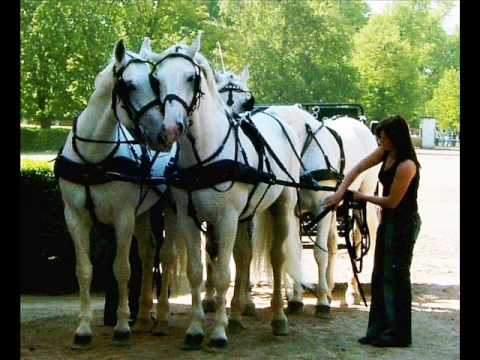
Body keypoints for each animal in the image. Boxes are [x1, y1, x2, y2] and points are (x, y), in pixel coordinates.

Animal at [54, 40, 178, 348]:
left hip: (168, 209)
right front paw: (83, 328)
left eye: (155, 83)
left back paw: (162, 316)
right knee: (147, 253)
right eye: (129, 85)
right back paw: (144, 315)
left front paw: (121, 326)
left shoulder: (123, 218)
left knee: (166, 256)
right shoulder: (75, 218)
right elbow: (84, 270)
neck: (92, 156)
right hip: (143, 213)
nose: (162, 135)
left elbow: (122, 268)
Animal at [142, 33, 308, 348]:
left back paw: (278, 317)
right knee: (243, 255)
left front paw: (218, 331)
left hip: (280, 205)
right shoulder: (188, 217)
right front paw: (196, 328)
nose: (170, 128)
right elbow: (198, 270)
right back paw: (239, 313)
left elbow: (222, 275)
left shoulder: (227, 218)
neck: (205, 156)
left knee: (276, 259)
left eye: (191, 77)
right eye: (156, 80)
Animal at [217, 69, 378, 312]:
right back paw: (329, 286)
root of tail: (356, 123)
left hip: (361, 200)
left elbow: (319, 253)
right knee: (333, 242)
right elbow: (296, 251)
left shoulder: (320, 207)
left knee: (358, 240)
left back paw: (352, 291)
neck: (301, 146)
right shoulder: (294, 210)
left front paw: (321, 302)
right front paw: (296, 297)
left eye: (247, 102)